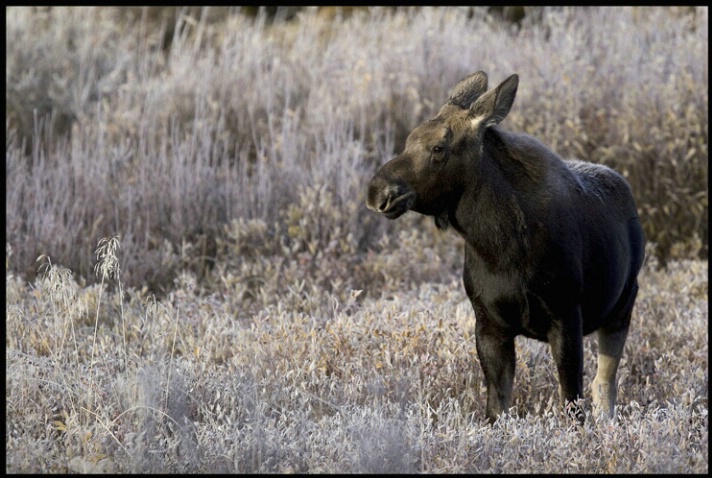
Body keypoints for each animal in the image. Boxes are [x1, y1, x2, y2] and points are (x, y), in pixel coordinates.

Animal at [368, 71, 644, 422]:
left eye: (438, 147)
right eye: (408, 139)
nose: (377, 192)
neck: (499, 247)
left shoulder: (566, 317)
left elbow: (571, 402)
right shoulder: (488, 324)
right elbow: (496, 408)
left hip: (622, 306)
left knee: (604, 384)